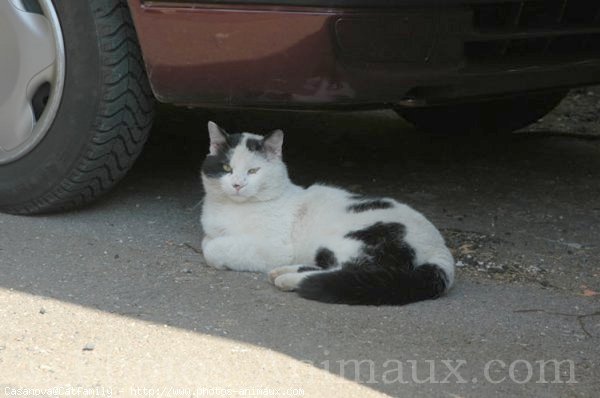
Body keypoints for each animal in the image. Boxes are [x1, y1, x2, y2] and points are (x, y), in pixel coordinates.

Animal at [199, 121, 452, 304]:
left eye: (253, 171)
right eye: (226, 168)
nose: (237, 185)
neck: (231, 208)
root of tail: (440, 248)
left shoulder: (275, 247)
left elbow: (211, 248)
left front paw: (218, 252)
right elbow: (207, 239)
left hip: (351, 243)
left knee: (351, 273)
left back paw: (289, 279)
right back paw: (282, 273)